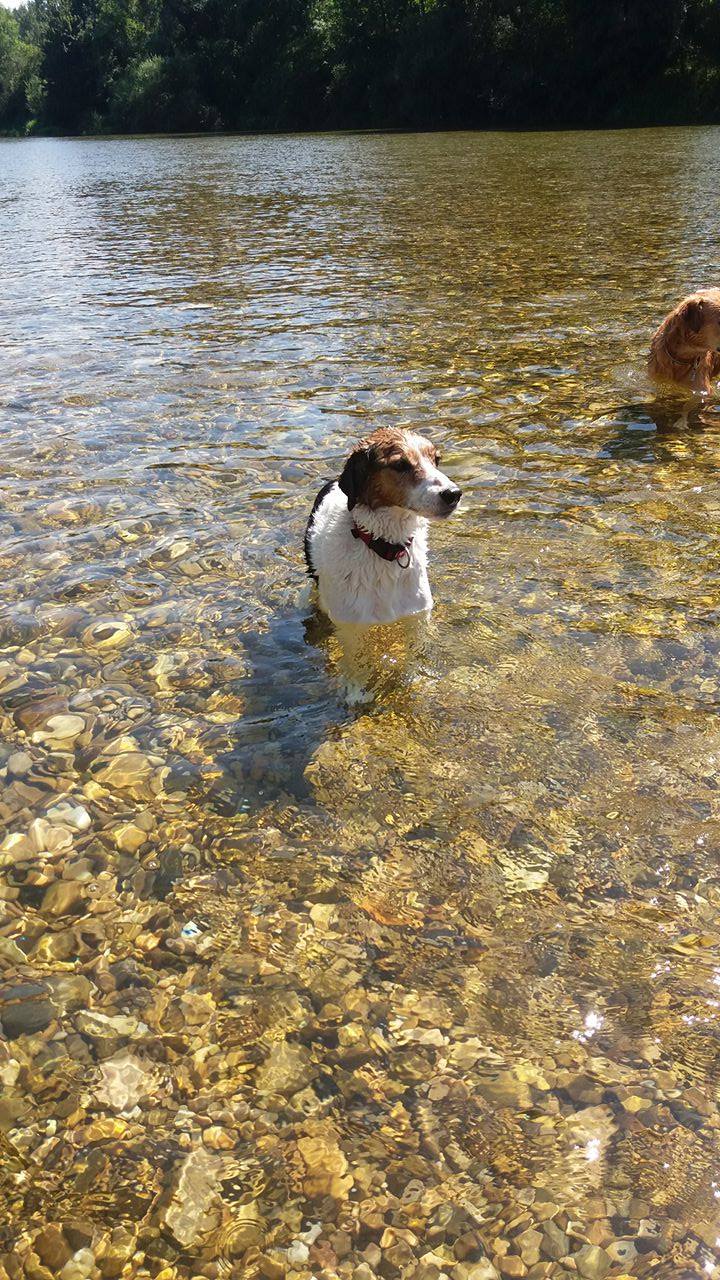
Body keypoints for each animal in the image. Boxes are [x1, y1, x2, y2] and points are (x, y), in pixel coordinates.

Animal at [302, 430, 458, 629]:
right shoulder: (349, 626)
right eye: (400, 464)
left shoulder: (416, 615)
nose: (454, 494)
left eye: (436, 460)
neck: (385, 548)